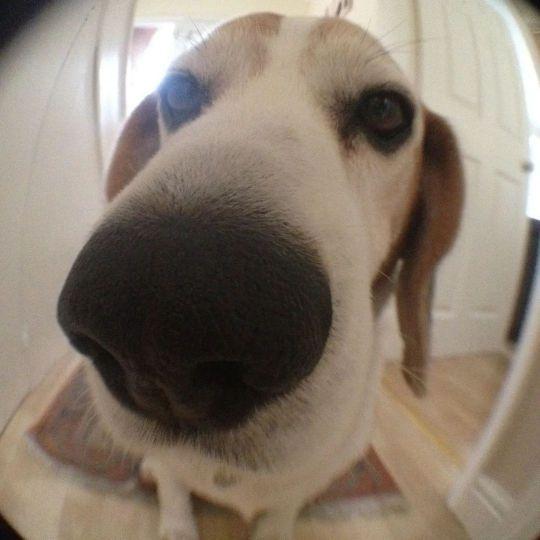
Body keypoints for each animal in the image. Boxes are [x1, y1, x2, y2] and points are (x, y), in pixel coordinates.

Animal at [57, 13, 463, 540]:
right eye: (178, 93)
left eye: (384, 111)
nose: (160, 323)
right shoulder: (169, 470)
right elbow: (172, 485)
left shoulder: (303, 486)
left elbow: (281, 510)